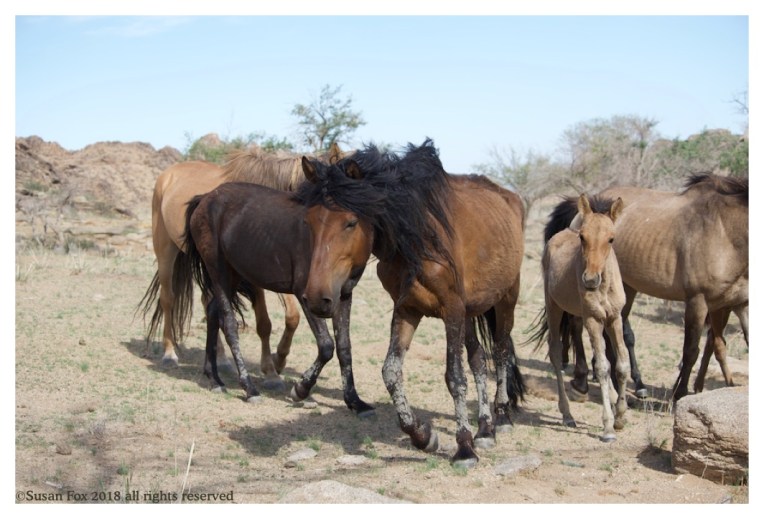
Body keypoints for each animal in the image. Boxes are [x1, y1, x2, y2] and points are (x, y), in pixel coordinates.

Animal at [138, 144, 343, 388]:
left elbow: (292, 317)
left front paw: (278, 361)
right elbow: (264, 323)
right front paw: (271, 372)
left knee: (208, 303)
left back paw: (222, 360)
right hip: (166, 251)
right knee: (168, 299)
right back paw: (170, 354)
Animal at [170, 181, 374, 414]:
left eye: (352, 222)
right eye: (312, 224)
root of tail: (205, 198)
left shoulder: (343, 296)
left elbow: (344, 347)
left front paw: (355, 401)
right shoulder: (306, 296)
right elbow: (326, 346)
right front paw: (300, 389)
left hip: (233, 275)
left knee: (213, 311)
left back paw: (214, 379)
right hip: (218, 271)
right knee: (228, 324)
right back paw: (249, 388)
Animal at [295, 139, 526, 468]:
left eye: (350, 222)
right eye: (309, 222)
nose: (316, 298)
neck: (416, 237)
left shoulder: (451, 311)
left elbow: (455, 377)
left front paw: (464, 448)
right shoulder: (408, 309)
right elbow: (391, 372)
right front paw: (423, 436)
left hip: (506, 300)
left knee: (502, 352)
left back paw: (502, 418)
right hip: (469, 314)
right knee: (480, 360)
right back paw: (484, 428)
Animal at [533, 194, 629, 442]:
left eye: (611, 239)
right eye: (583, 237)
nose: (590, 280)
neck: (604, 286)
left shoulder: (614, 318)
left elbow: (621, 364)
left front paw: (621, 416)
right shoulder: (594, 320)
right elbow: (603, 367)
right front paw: (607, 426)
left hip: (576, 313)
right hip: (554, 306)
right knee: (556, 352)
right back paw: (567, 414)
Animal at [560, 175, 748, 401]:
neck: (725, 231)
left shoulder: (736, 305)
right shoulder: (698, 301)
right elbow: (691, 351)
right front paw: (679, 394)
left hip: (626, 289)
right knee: (577, 324)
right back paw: (583, 381)